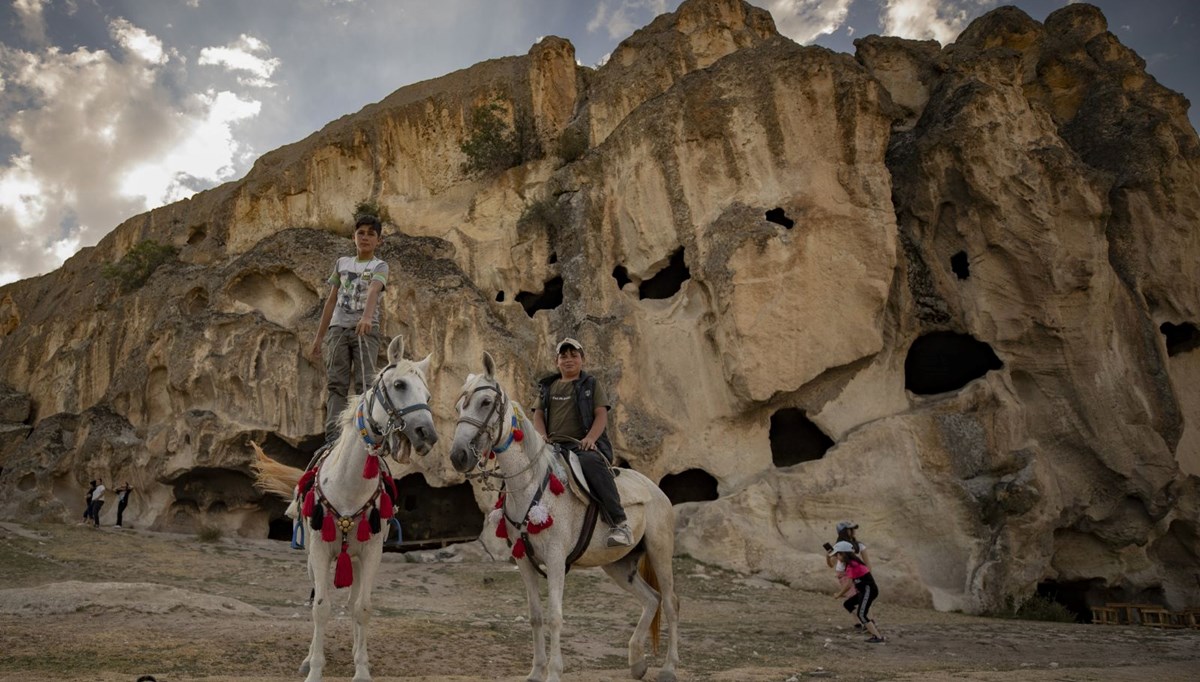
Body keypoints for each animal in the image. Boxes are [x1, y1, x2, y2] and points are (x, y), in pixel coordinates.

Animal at [255, 336, 439, 682]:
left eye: (428, 396)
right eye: (399, 385)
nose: (427, 435)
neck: (349, 485)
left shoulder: (372, 553)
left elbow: (362, 608)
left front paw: (362, 668)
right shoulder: (319, 550)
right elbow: (321, 606)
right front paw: (314, 668)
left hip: (354, 558)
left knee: (354, 599)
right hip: (313, 559)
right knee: (318, 594)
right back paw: (309, 657)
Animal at [451, 350, 681, 682]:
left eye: (484, 402)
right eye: (459, 406)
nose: (458, 456)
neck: (532, 483)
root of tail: (657, 491)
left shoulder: (556, 559)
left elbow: (555, 617)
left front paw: (554, 672)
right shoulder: (524, 561)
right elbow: (535, 616)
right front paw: (536, 671)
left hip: (660, 552)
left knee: (672, 603)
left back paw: (669, 667)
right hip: (618, 565)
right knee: (652, 598)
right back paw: (637, 662)